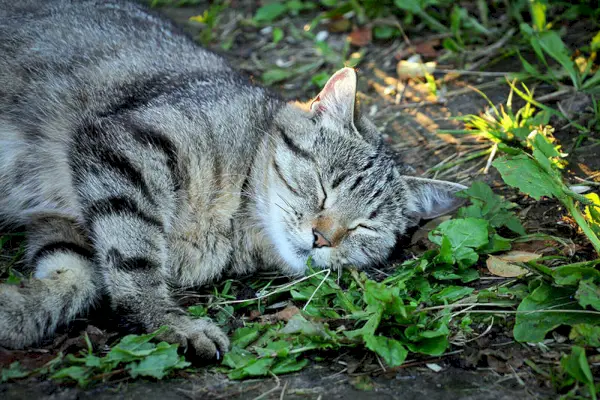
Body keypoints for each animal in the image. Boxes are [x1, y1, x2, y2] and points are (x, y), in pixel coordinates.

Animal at [0, 0, 466, 360]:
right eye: (323, 186)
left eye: (363, 227)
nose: (321, 238)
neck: (233, 224)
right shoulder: (126, 146)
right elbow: (134, 259)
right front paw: (170, 321)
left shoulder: (67, 226)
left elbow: (71, 281)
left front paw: (14, 312)